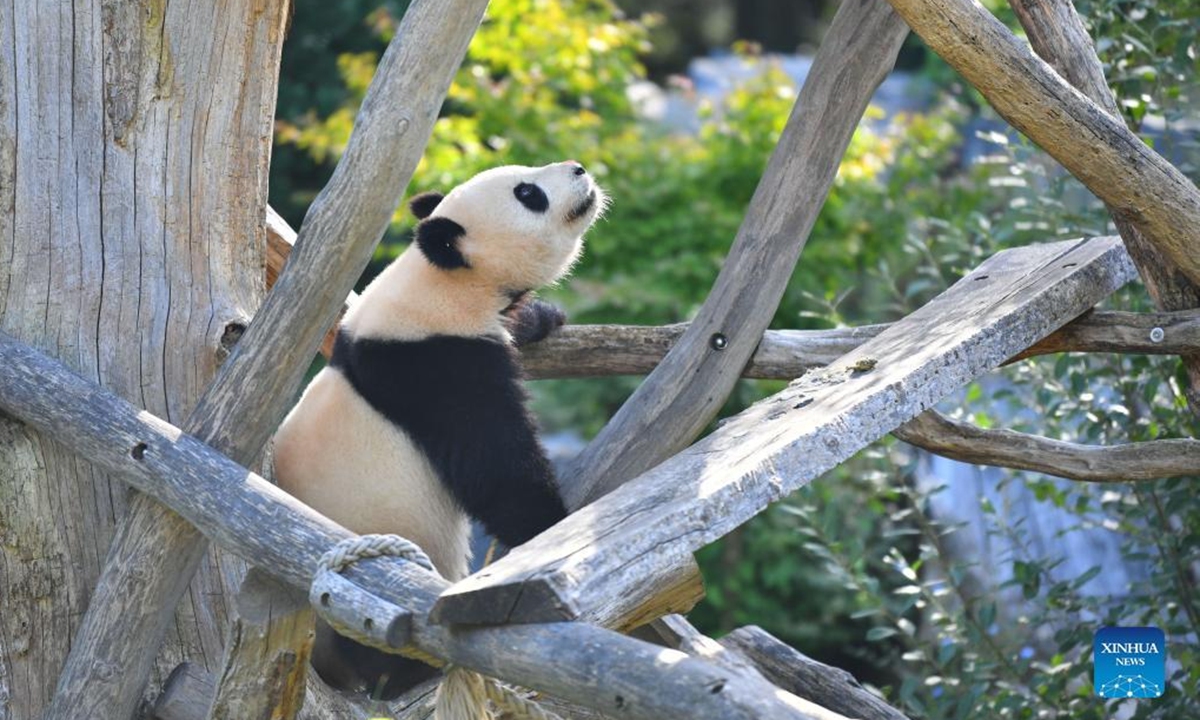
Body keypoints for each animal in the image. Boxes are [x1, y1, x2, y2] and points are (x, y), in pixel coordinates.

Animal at [272, 161, 606, 699]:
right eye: (528, 193)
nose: (579, 169)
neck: (441, 279)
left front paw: (541, 316)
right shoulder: (436, 364)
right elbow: (497, 470)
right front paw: (549, 526)